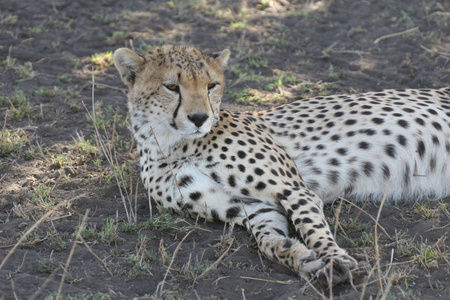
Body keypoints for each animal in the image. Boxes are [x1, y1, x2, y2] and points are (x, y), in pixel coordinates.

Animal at [113, 45, 450, 286]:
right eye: (171, 87)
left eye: (211, 85)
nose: (199, 118)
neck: (172, 144)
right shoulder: (251, 207)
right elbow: (268, 240)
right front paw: (303, 260)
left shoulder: (295, 190)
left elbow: (312, 227)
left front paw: (333, 259)